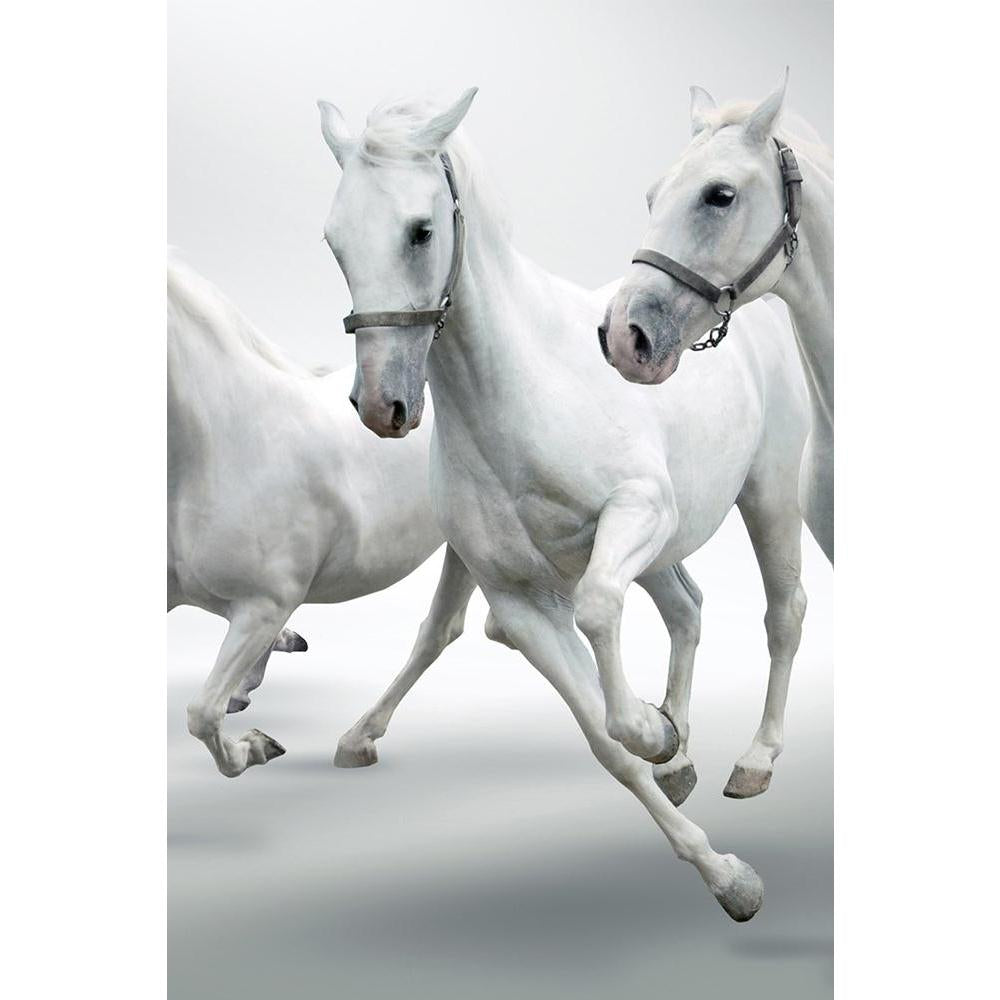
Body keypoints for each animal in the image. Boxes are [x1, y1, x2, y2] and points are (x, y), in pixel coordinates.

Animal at [168, 254, 478, 776]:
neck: (223, 442)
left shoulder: (263, 604)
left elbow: (201, 713)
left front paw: (257, 746)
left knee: (439, 631)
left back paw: (357, 740)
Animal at [318, 89, 810, 920]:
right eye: (334, 241)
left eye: (421, 230)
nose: (382, 404)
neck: (520, 389)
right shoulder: (519, 601)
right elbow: (607, 743)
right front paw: (714, 852)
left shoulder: (635, 513)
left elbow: (599, 613)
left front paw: (663, 746)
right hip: (667, 549)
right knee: (688, 608)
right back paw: (682, 752)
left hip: (767, 495)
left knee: (782, 612)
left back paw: (754, 761)